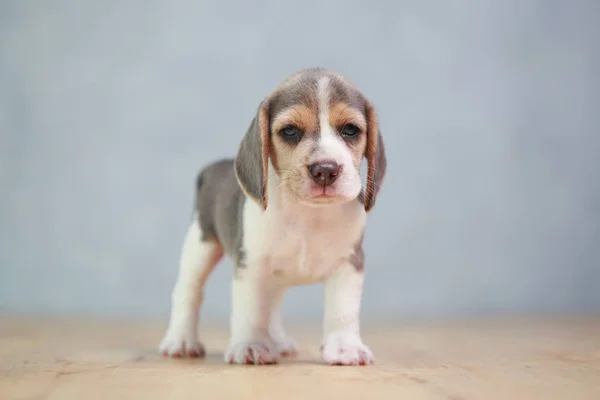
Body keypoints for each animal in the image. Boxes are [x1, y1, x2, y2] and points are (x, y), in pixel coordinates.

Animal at [157, 68, 386, 366]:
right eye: (289, 131)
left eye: (350, 130)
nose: (325, 169)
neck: (308, 214)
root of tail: (213, 168)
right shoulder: (251, 265)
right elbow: (251, 310)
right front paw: (251, 345)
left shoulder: (349, 262)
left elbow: (343, 310)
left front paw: (345, 347)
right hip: (199, 246)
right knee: (188, 292)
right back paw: (182, 341)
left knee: (273, 307)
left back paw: (277, 341)